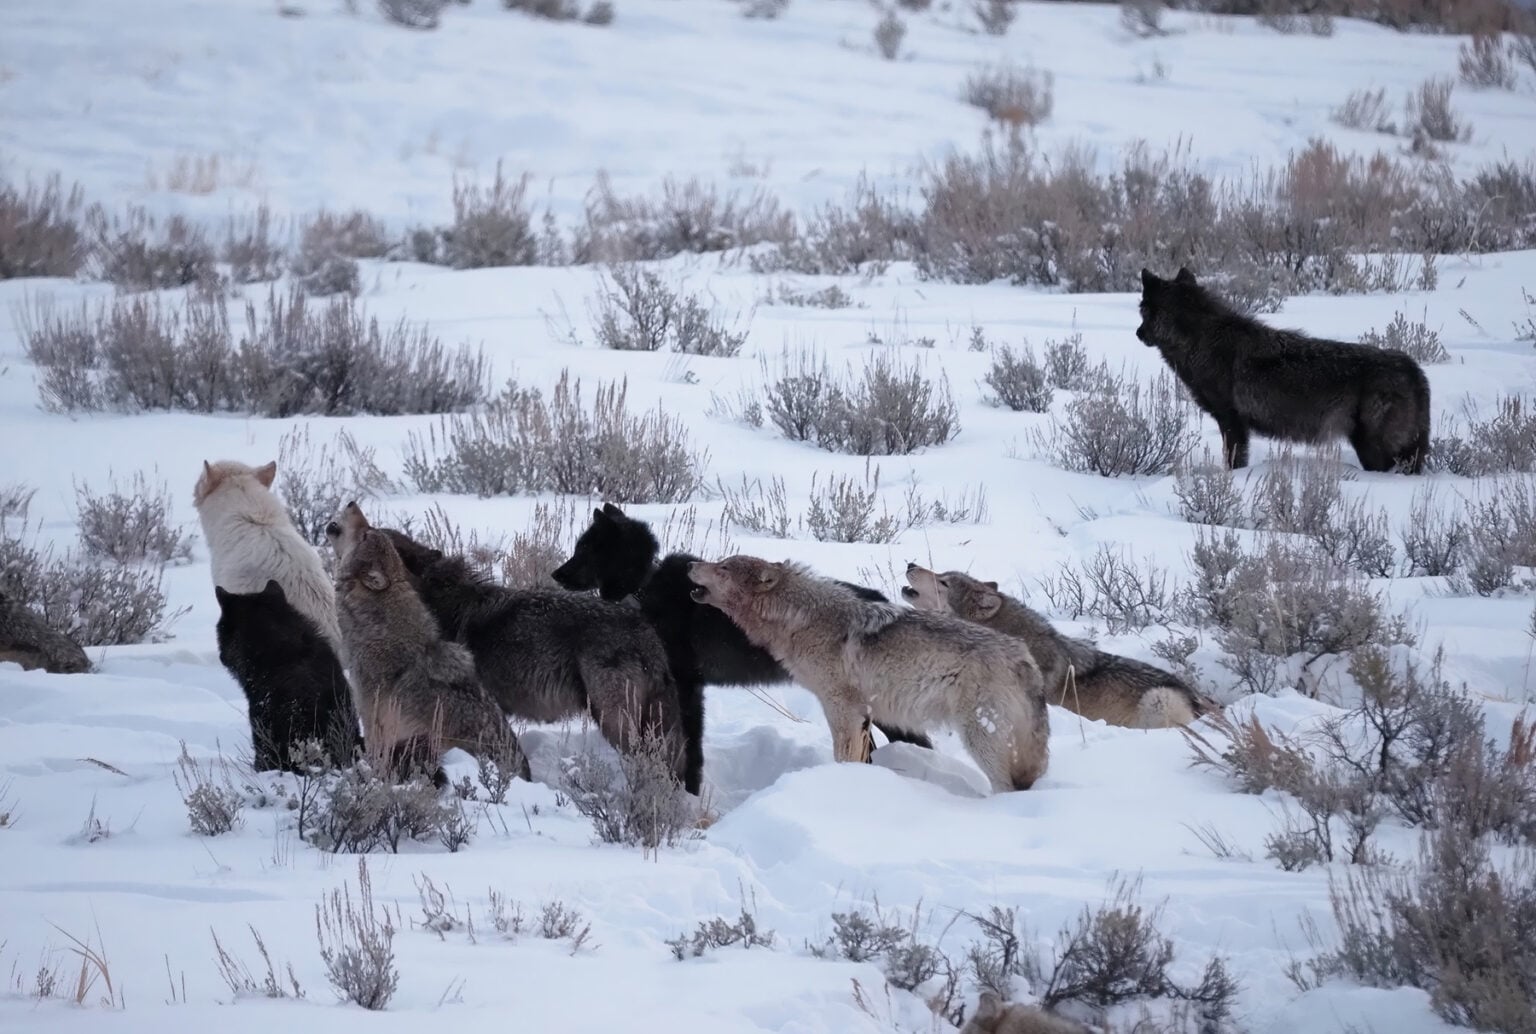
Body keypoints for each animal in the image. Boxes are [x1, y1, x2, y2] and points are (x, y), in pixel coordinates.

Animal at [688, 555, 1050, 793]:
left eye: (723, 567)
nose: (690, 564)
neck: (801, 619)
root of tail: (1025, 658)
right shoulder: (861, 715)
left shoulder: (842, 710)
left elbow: (843, 757)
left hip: (979, 740)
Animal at [1136, 266, 1431, 473]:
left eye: (1143, 312)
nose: (1138, 333)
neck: (1199, 340)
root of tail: (1413, 369)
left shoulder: (1231, 422)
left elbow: (1233, 461)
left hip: (1373, 450)